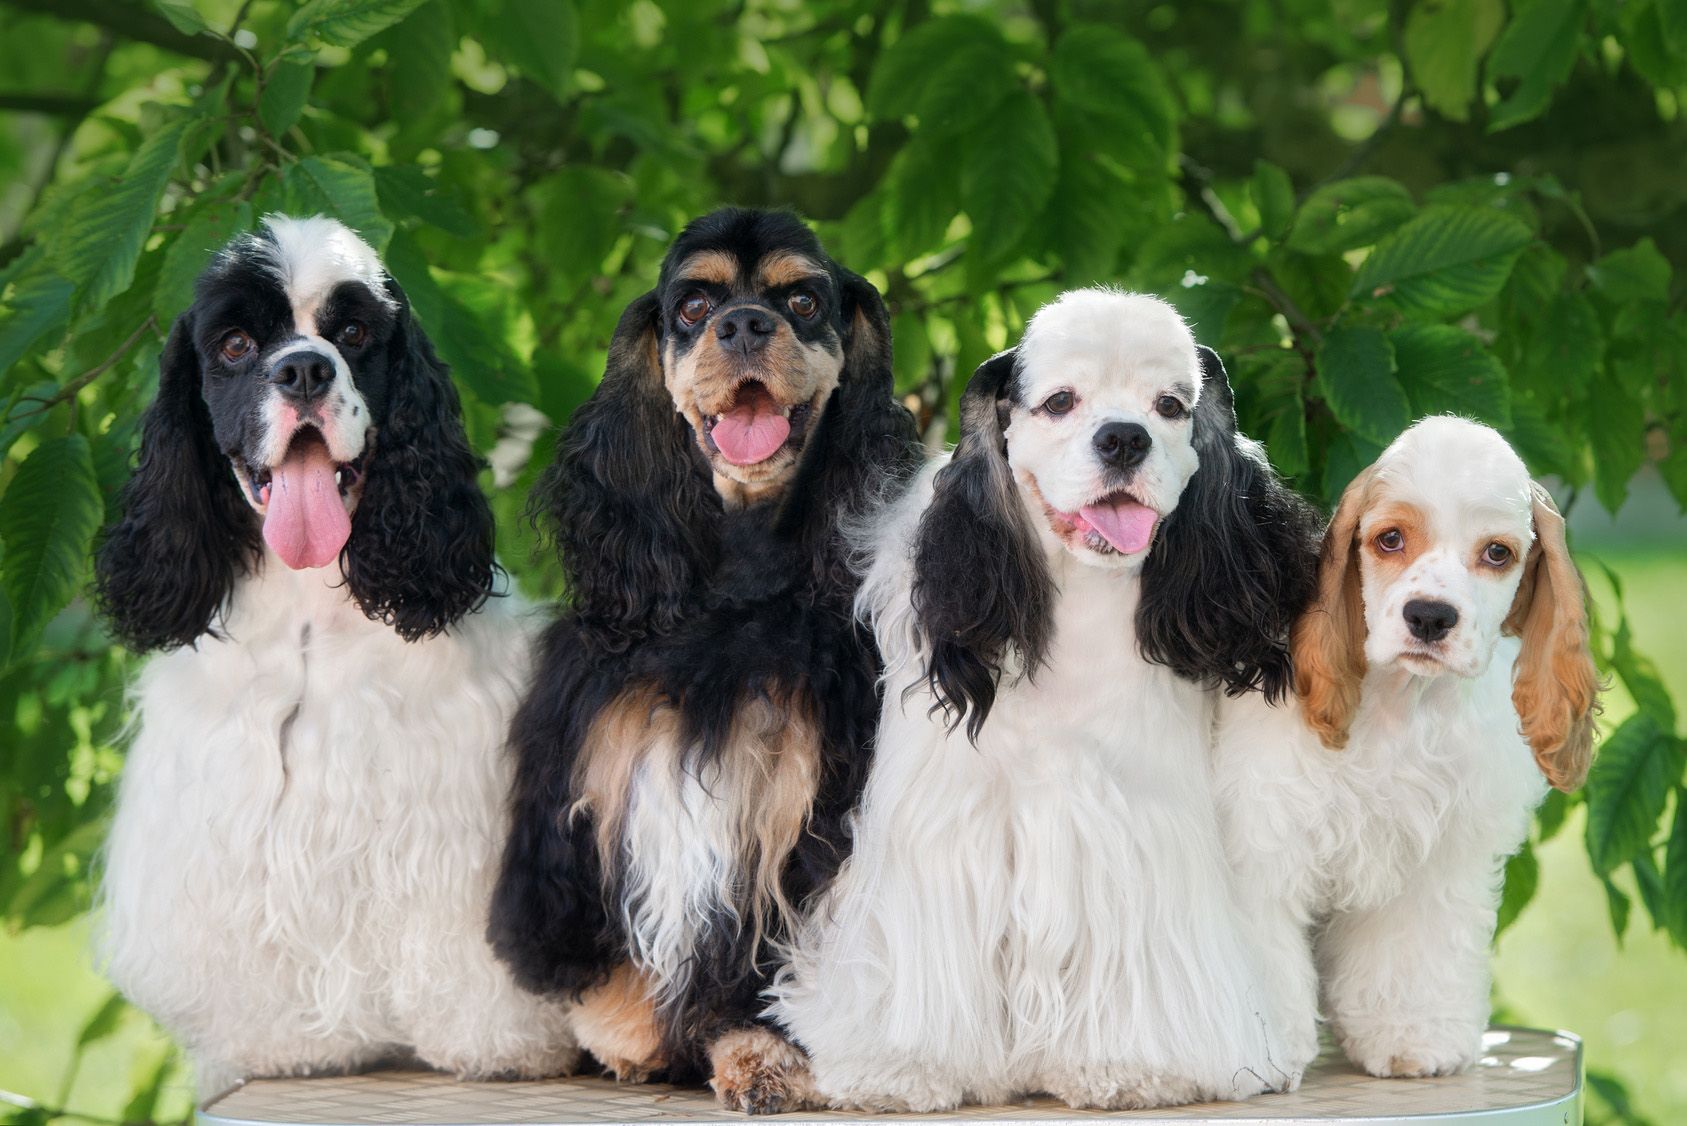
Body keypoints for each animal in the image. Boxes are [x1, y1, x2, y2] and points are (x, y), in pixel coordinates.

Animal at [489, 206, 924, 1114]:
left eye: (802, 299)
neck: (738, 582)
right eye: (692, 305)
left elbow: (765, 967)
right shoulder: (596, 770)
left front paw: (762, 1054)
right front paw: (628, 1032)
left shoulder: (811, 813)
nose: (746, 324)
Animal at [772, 288, 1322, 1107]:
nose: (1124, 439)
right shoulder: (944, 827)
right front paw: (906, 1069)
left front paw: (1128, 1067)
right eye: (1060, 401)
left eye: (1169, 405)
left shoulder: (1134, 825)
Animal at [1214, 416, 1592, 1080]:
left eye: (1498, 553)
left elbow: (1412, 955)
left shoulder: (1432, 858)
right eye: (1390, 539)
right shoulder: (1263, 839)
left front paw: (1412, 1039)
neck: (1402, 702)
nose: (1430, 617)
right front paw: (1261, 1053)